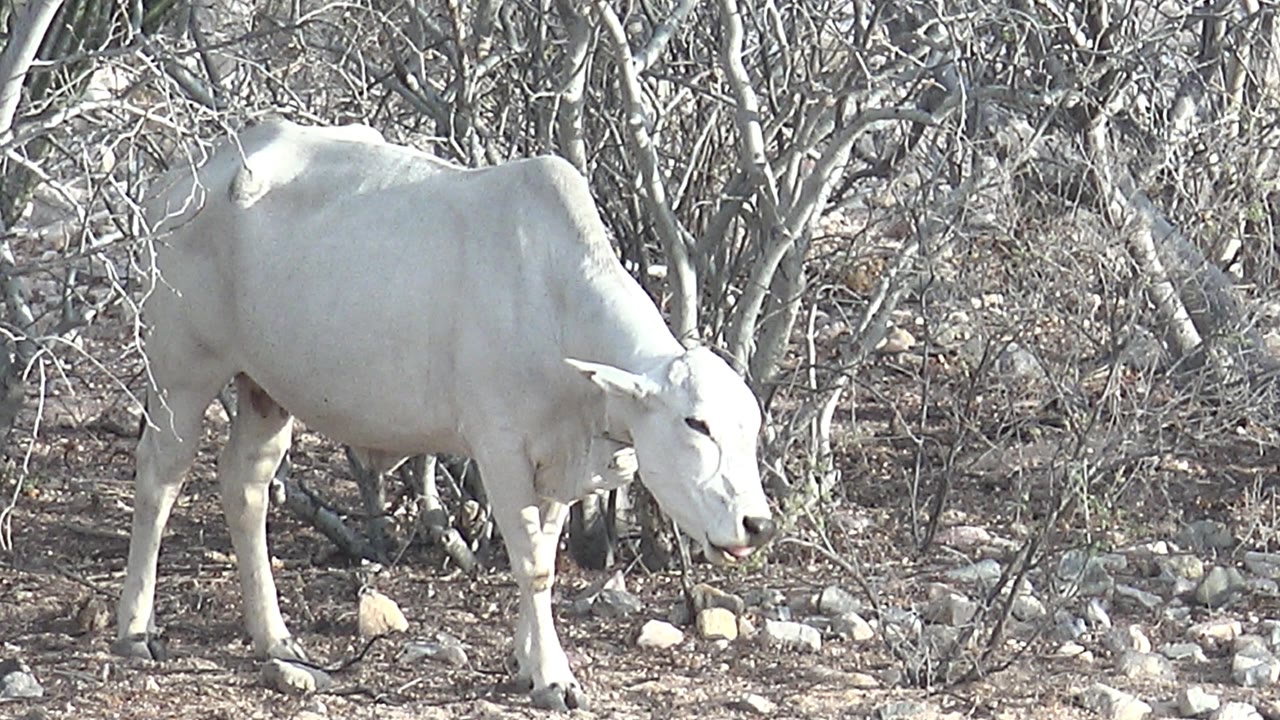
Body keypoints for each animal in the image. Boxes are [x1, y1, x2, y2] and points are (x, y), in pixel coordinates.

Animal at [114, 119, 776, 711]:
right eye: (696, 423)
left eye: (751, 427)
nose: (757, 524)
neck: (554, 299)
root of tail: (179, 179)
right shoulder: (501, 447)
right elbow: (533, 563)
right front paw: (552, 676)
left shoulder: (558, 466)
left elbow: (545, 553)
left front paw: (527, 661)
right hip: (181, 371)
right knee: (160, 478)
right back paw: (136, 630)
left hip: (264, 389)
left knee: (245, 486)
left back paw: (274, 638)